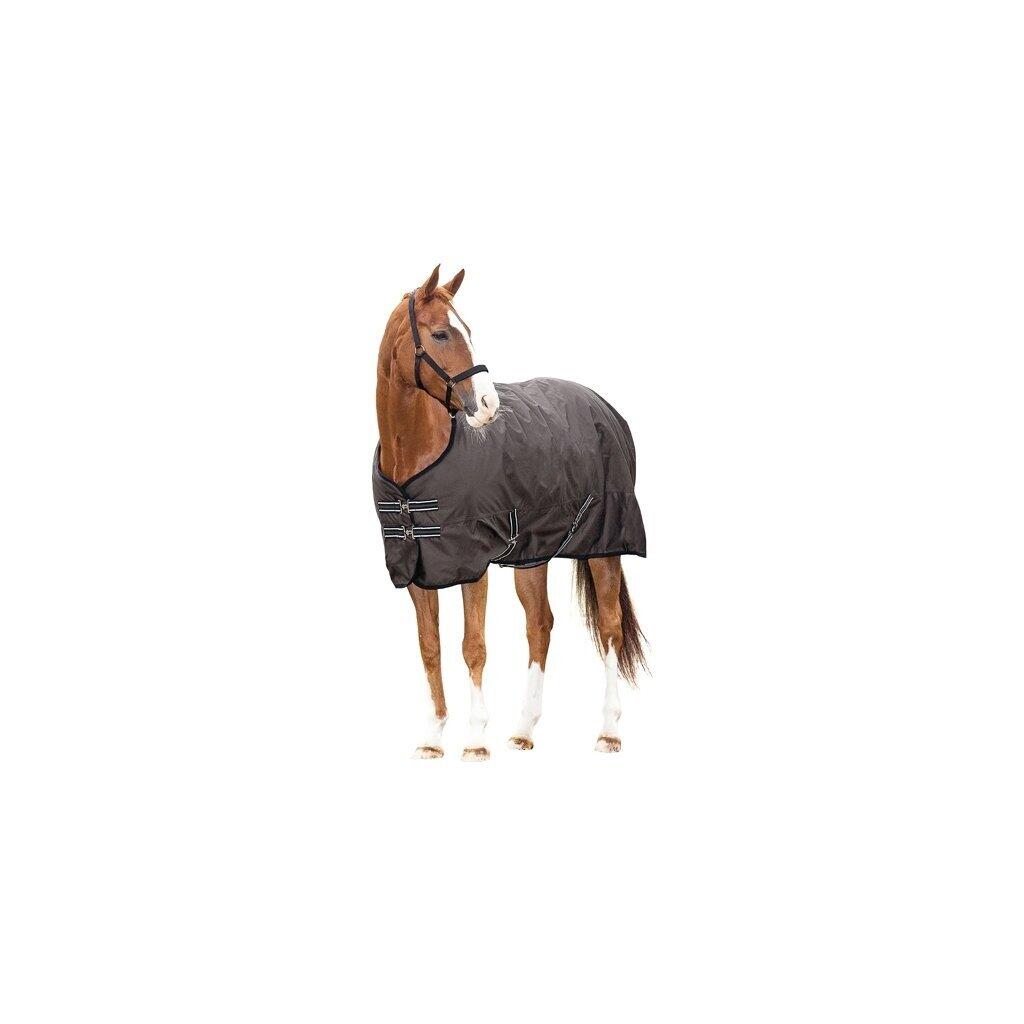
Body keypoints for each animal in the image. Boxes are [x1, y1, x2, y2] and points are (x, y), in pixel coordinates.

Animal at [372, 265, 647, 759]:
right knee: (540, 625)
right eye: (441, 333)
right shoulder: (417, 569)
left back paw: (608, 732)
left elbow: (473, 645)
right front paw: (433, 737)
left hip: (605, 545)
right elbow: (430, 647)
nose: (488, 407)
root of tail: (603, 406)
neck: (416, 464)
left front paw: (476, 739)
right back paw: (524, 730)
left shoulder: (471, 564)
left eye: (468, 331)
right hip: (532, 554)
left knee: (611, 627)